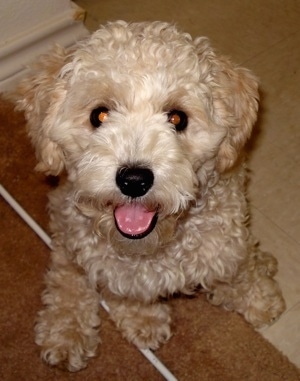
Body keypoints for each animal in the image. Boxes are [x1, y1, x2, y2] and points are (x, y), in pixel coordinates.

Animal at [16, 21, 286, 372]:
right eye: (99, 115)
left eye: (177, 118)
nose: (134, 180)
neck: (158, 247)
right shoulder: (110, 265)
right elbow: (120, 289)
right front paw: (143, 321)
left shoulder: (227, 241)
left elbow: (239, 270)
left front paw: (260, 300)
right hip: (66, 228)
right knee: (67, 271)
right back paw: (65, 331)